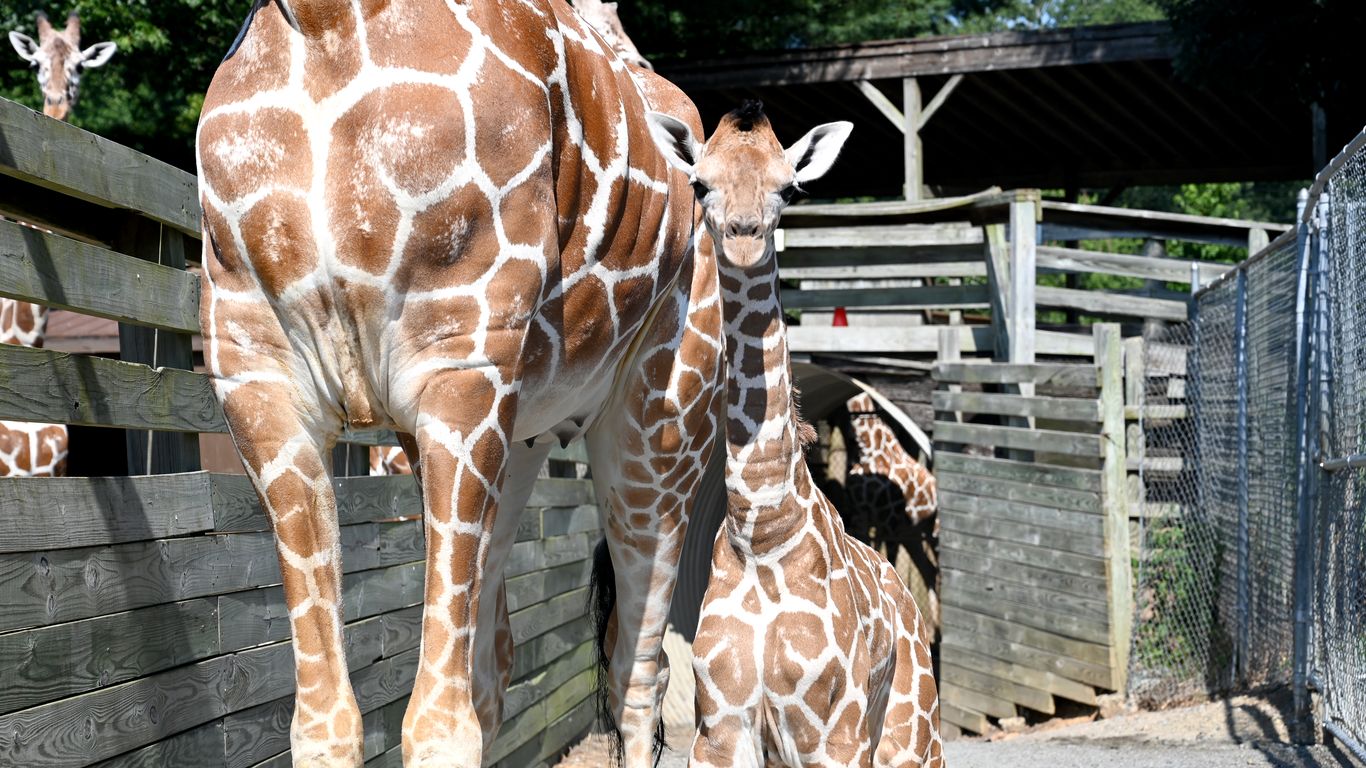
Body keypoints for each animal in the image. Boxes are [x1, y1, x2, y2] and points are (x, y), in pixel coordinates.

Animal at [195, 1, 723, 765]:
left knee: (635, 673)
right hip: (519, 438)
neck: (324, 28)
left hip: (665, 425)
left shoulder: (462, 359)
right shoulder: (258, 377)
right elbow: (323, 721)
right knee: (499, 660)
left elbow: (439, 725)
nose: (674, 138)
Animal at [645, 102, 942, 767]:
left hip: (913, 735)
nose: (744, 236)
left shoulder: (834, 732)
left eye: (789, 188)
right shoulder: (719, 730)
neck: (764, 531)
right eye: (699, 184)